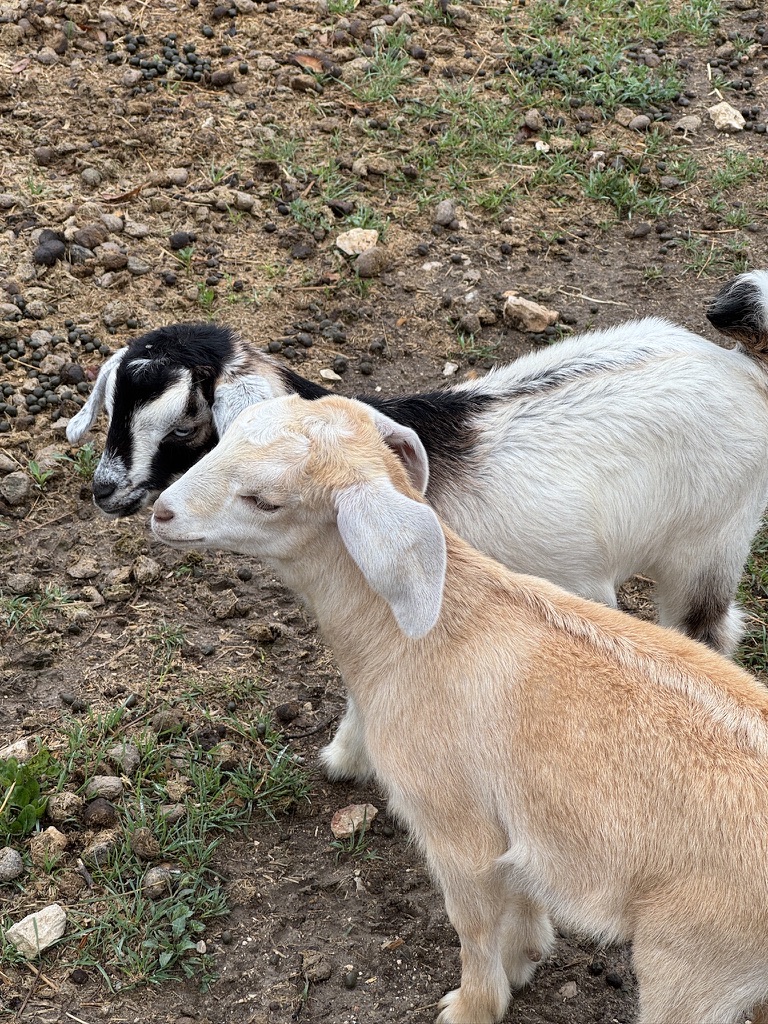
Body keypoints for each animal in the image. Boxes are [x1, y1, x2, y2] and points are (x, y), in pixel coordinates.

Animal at [67, 271, 768, 654]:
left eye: (186, 424)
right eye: (114, 408)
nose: (106, 490)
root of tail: (741, 371)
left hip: (708, 544)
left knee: (709, 625)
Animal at [150, 394, 768, 1024]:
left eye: (265, 501)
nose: (161, 513)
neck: (415, 636)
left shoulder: (455, 823)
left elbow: (472, 925)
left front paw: (472, 1005)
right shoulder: (516, 830)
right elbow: (521, 898)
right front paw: (524, 959)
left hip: (695, 961)